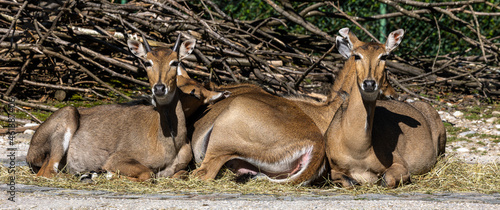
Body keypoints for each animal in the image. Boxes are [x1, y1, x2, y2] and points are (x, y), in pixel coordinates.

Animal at [26, 35, 223, 181]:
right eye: (147, 62)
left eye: (175, 62)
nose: (159, 88)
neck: (170, 143)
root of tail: (29, 153)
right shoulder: (117, 158)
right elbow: (147, 173)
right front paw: (106, 174)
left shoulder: (181, 168)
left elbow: (181, 174)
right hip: (67, 116)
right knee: (48, 172)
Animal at [326, 27, 448, 187]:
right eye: (357, 56)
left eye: (384, 56)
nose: (369, 83)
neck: (358, 150)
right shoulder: (332, 168)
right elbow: (348, 181)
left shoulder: (399, 162)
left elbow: (387, 179)